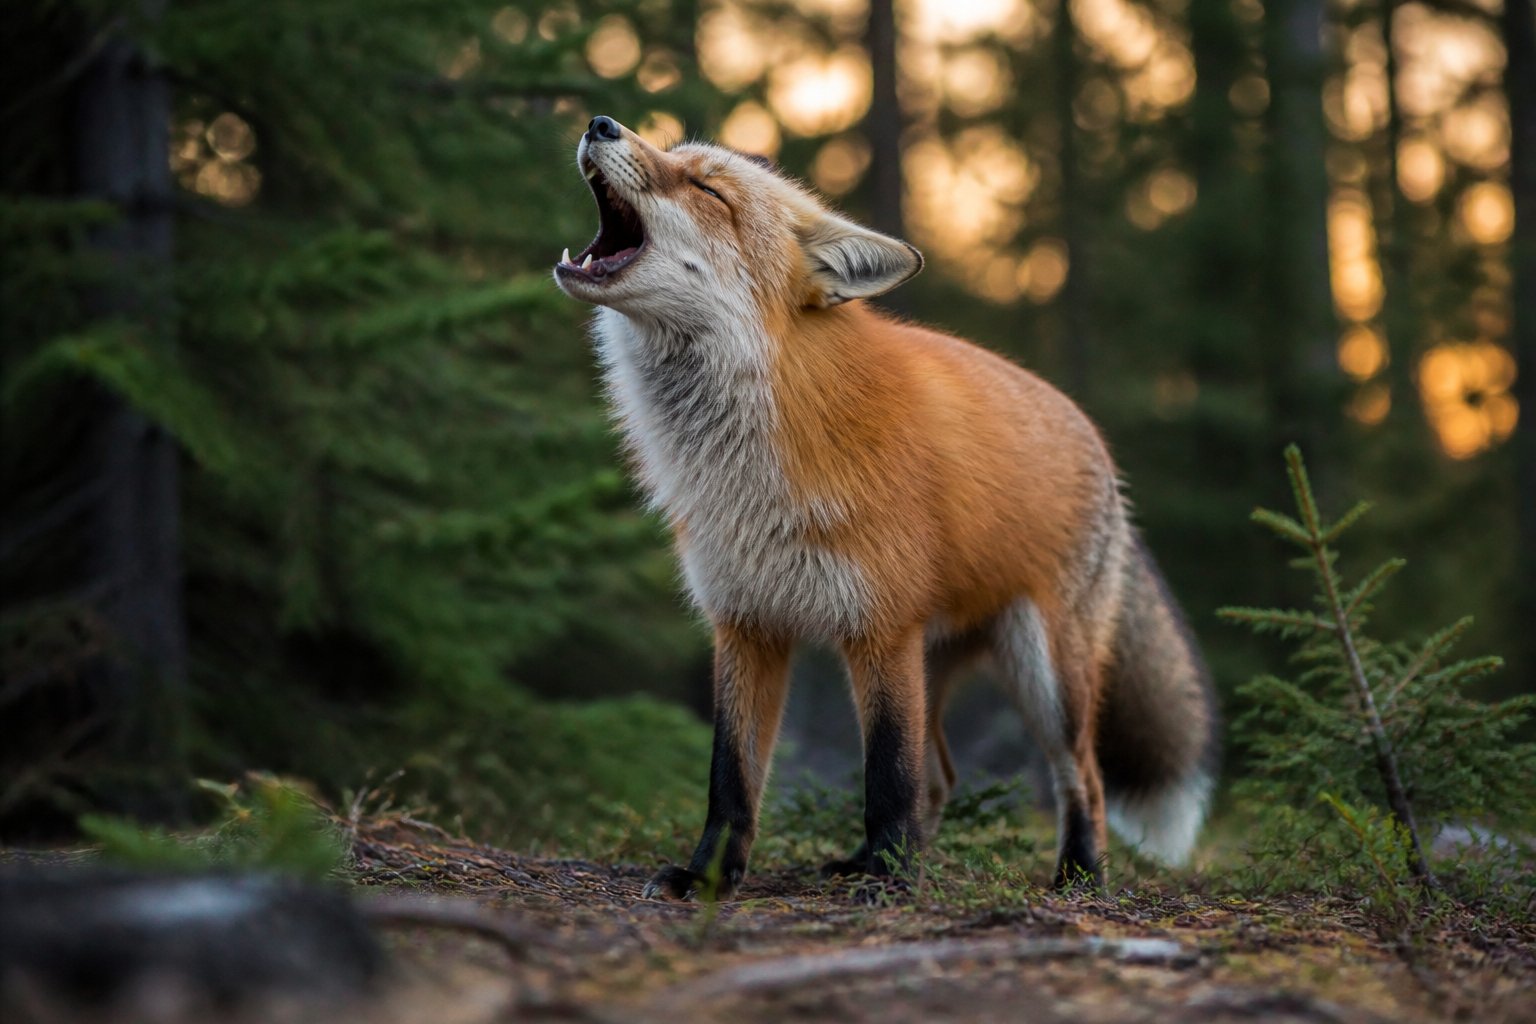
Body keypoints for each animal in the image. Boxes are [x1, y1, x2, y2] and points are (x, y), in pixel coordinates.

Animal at [553, 115, 1218, 900]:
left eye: (708, 189)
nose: (601, 122)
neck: (749, 460)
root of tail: (1097, 442)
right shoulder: (746, 623)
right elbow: (732, 779)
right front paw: (712, 876)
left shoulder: (880, 625)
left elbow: (887, 776)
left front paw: (888, 880)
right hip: (938, 660)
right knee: (943, 776)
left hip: (1044, 669)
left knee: (1077, 775)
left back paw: (1076, 876)